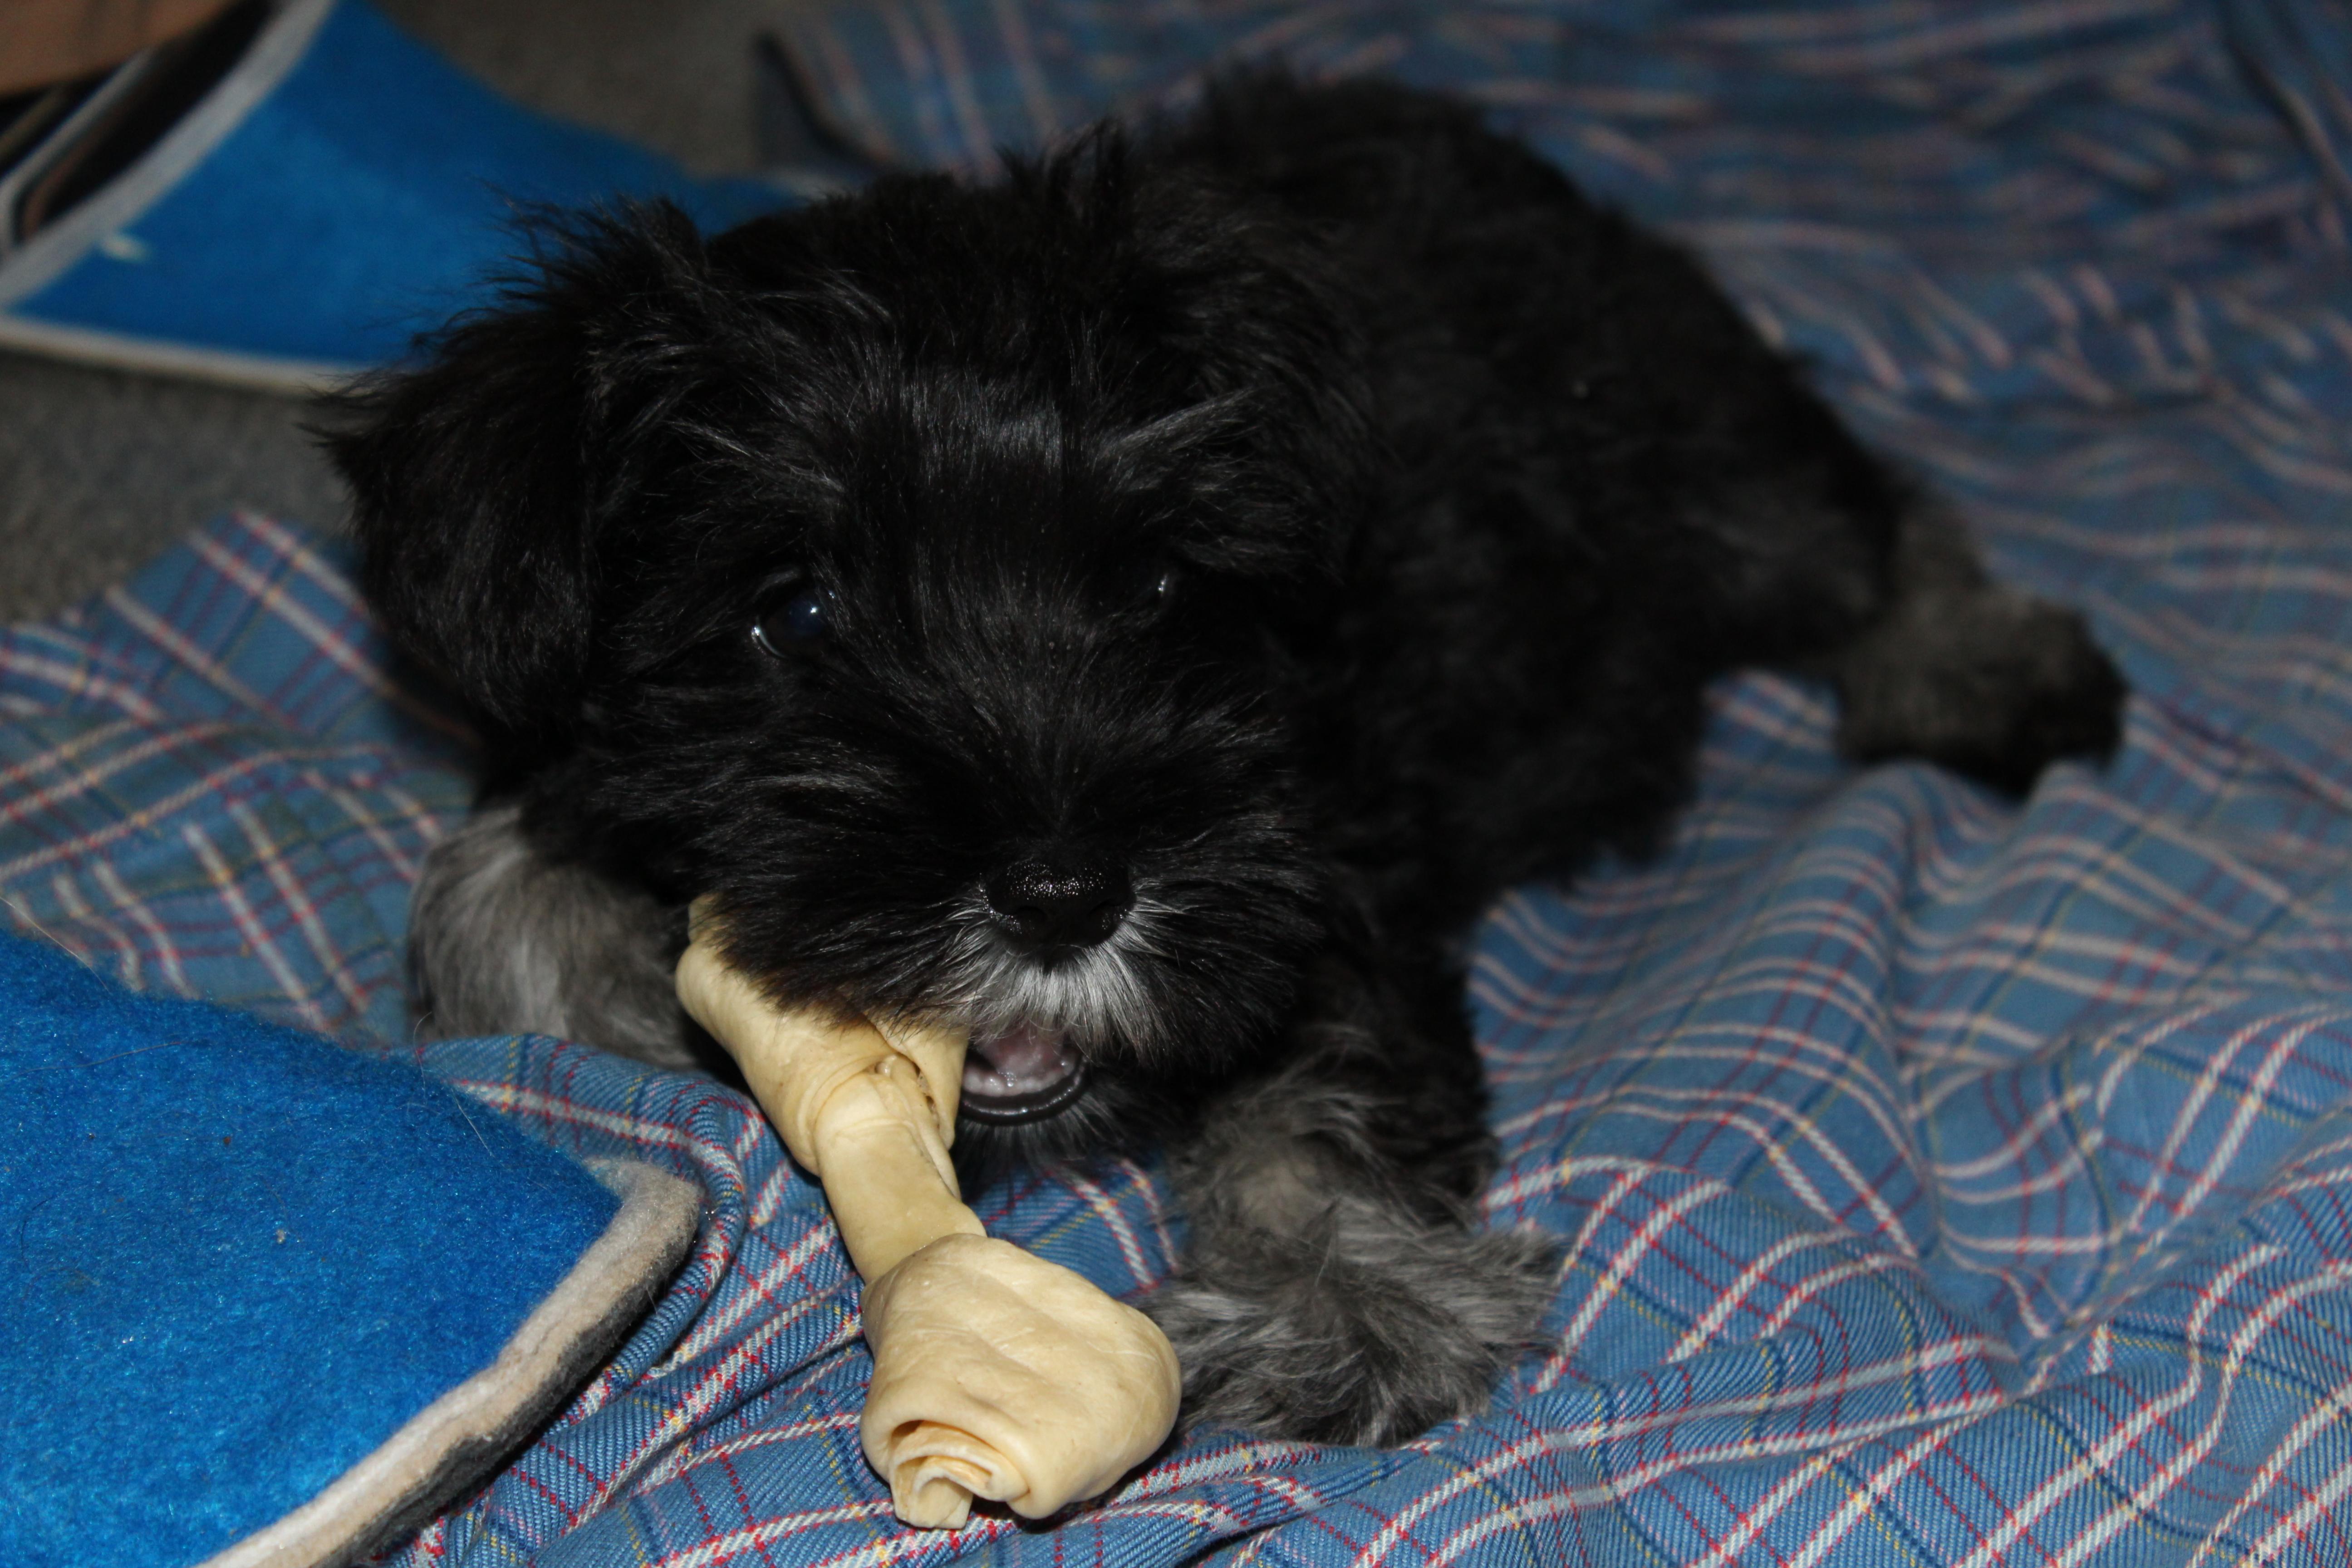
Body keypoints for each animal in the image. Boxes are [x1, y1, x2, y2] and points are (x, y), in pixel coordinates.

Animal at [325, 74, 2125, 1447]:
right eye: (796, 608)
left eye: (1152, 585)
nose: (1066, 891)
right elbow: (496, 871)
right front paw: (586, 981)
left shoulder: (1311, 874)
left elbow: (1315, 1099)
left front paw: (1340, 1298)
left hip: (1717, 479)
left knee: (1876, 525)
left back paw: (1983, 666)